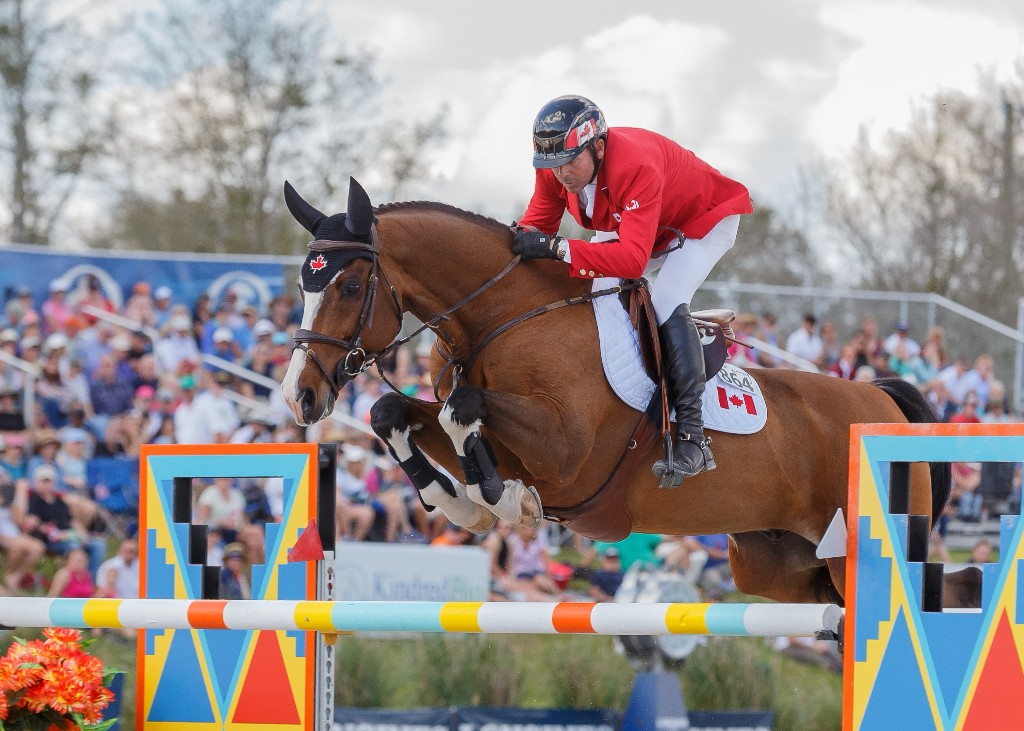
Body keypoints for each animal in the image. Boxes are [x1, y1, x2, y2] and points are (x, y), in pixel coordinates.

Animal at [278, 175, 974, 602]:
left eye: (348, 286)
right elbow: (393, 410)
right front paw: (465, 504)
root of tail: (884, 398)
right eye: (303, 283)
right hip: (777, 565)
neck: (502, 318)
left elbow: (462, 408)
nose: (299, 397)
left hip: (858, 552)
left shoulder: (565, 452)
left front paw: (505, 502)